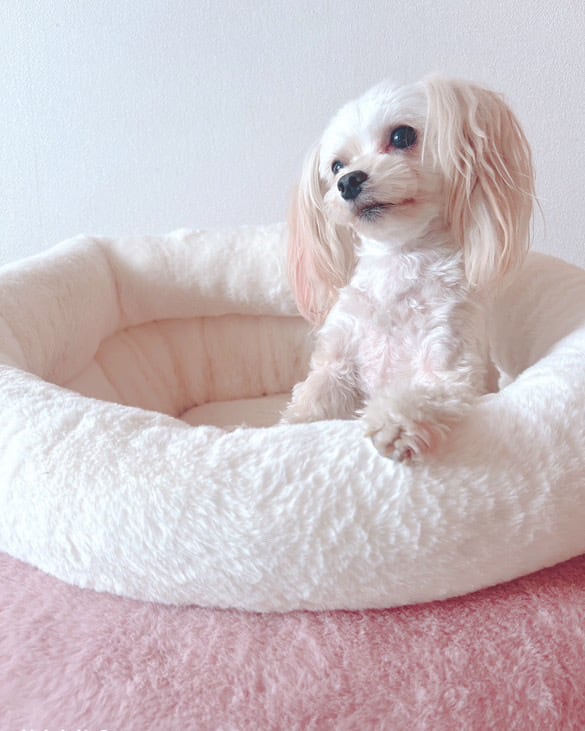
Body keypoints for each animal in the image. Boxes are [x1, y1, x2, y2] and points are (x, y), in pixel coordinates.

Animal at [281, 75, 535, 462]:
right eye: (336, 166)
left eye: (401, 136)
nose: (348, 182)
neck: (396, 262)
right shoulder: (340, 360)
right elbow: (317, 392)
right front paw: (292, 423)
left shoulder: (450, 366)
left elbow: (426, 393)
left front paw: (394, 425)